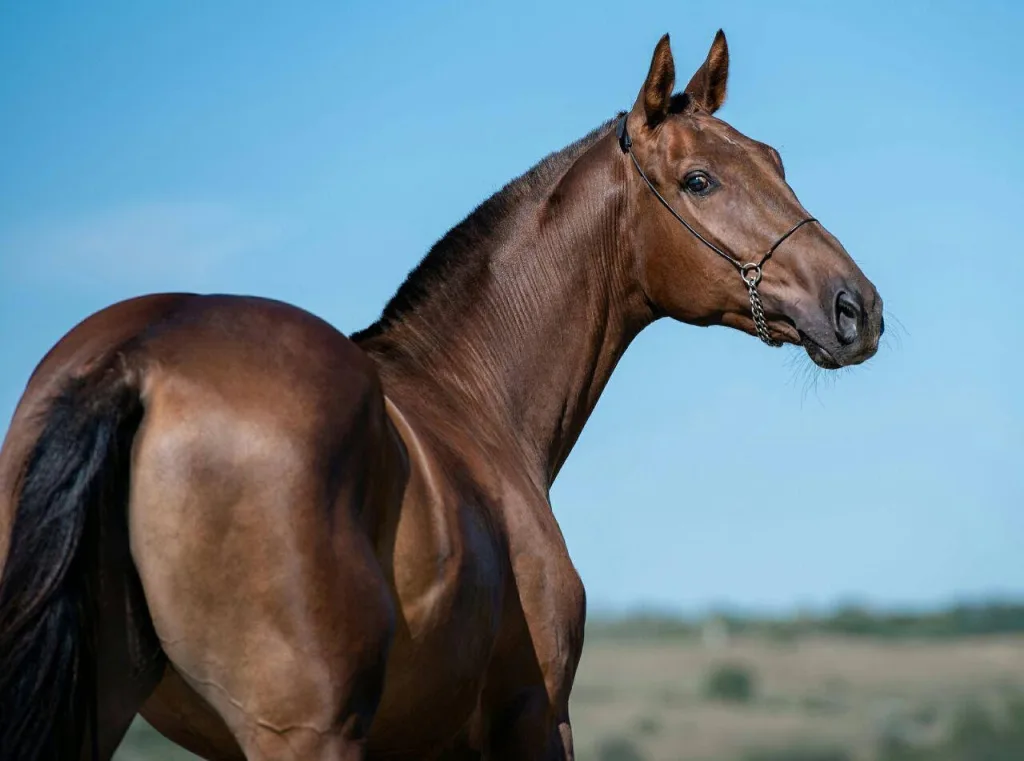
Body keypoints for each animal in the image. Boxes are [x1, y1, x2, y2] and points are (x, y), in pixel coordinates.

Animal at [0, 30, 883, 761]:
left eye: (775, 160)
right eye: (699, 181)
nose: (855, 306)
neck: (471, 394)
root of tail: (136, 360)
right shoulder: (534, 716)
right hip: (306, 733)